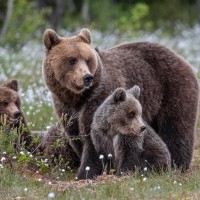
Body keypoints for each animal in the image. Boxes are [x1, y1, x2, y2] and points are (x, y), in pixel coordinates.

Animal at [41, 27, 198, 179]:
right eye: (72, 60)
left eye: (87, 59)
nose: (87, 77)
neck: (77, 97)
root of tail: (182, 59)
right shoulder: (65, 106)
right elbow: (76, 135)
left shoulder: (99, 98)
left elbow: (93, 139)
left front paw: (86, 172)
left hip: (173, 89)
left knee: (176, 127)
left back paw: (178, 163)